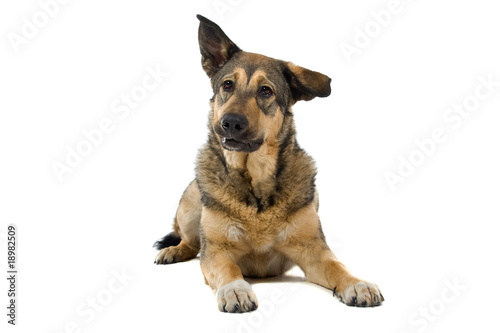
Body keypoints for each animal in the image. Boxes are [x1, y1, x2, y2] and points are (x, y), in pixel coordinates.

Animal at [154, 14, 384, 312]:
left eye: (266, 91)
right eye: (227, 85)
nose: (230, 123)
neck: (256, 182)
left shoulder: (313, 250)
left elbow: (337, 266)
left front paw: (356, 283)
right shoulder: (216, 251)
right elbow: (227, 268)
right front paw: (235, 289)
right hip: (191, 202)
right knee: (190, 241)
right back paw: (173, 250)